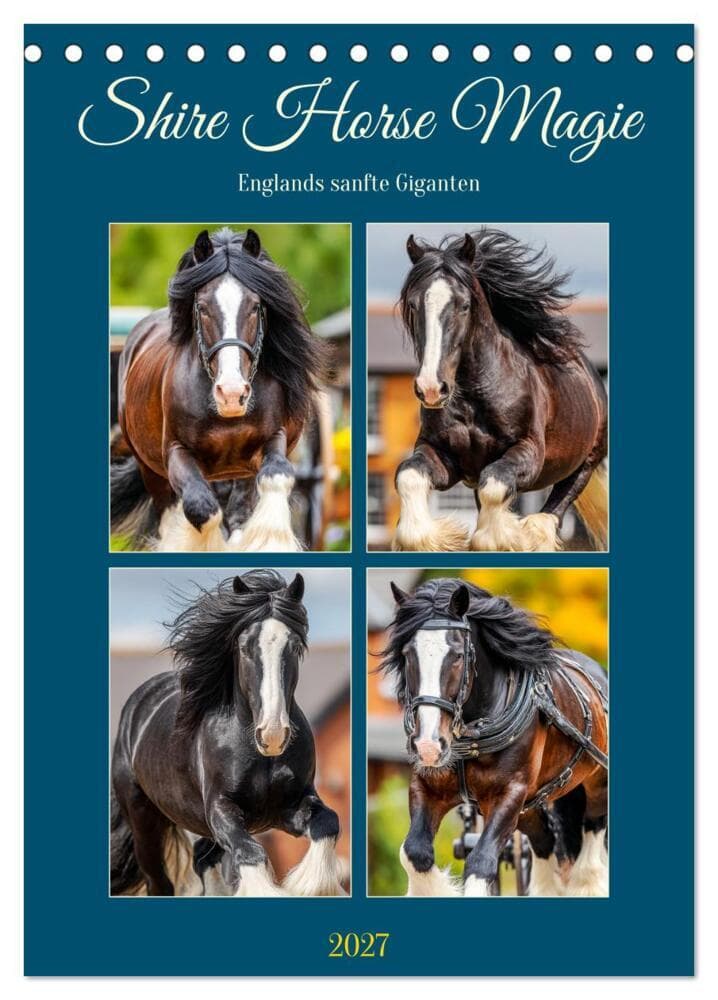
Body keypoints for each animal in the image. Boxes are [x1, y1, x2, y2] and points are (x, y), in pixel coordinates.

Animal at [111, 227, 329, 552]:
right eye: (202, 308)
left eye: (256, 306)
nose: (232, 395)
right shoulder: (176, 453)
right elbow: (201, 509)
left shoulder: (272, 440)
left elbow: (276, 477)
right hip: (152, 472)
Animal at [111, 570, 345, 897]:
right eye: (245, 647)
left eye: (295, 647)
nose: (272, 735)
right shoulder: (222, 810)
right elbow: (251, 853)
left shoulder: (290, 807)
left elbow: (329, 823)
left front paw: (309, 886)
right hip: (144, 821)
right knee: (159, 880)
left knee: (202, 859)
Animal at [381, 578, 608, 897]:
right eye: (406, 655)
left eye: (458, 655)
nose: (427, 746)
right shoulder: (427, 787)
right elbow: (414, 852)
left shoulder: (509, 793)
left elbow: (481, 862)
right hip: (531, 806)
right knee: (546, 843)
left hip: (596, 787)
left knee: (590, 849)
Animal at [392, 229, 608, 552]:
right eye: (414, 305)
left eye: (464, 305)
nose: (431, 388)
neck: (475, 396)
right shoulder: (443, 455)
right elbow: (408, 475)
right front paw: (440, 537)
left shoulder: (528, 452)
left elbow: (494, 486)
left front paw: (501, 538)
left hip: (585, 462)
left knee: (551, 513)